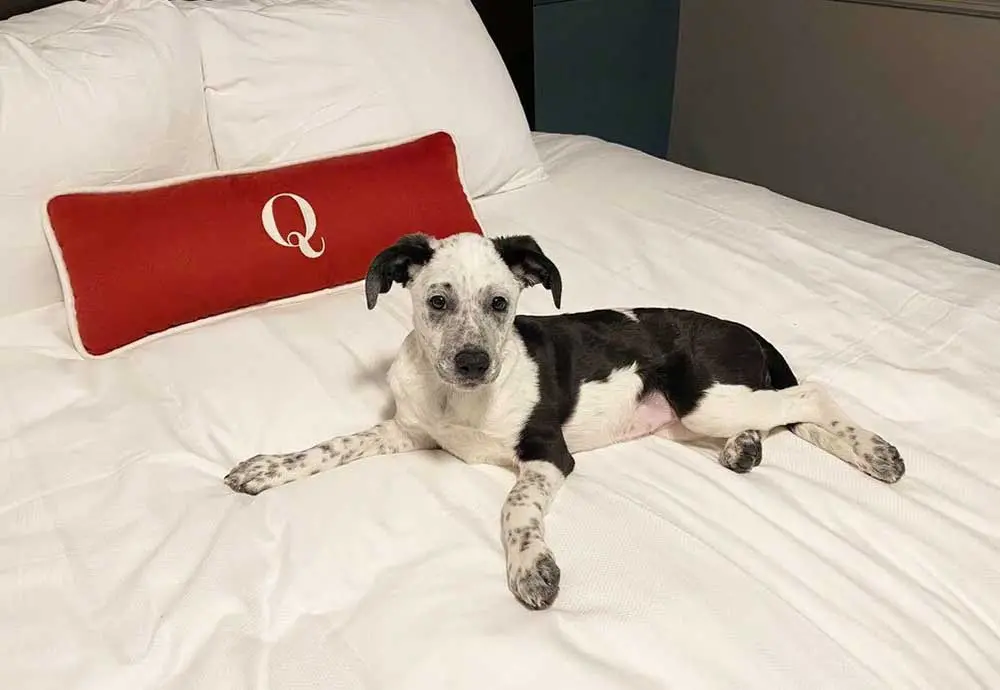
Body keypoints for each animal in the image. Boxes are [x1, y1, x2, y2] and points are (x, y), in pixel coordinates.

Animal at [225, 230, 908, 608]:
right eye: (437, 301)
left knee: (810, 396)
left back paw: (874, 451)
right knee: (777, 417)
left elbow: (515, 509)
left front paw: (531, 567)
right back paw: (748, 447)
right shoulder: (404, 430)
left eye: (501, 304)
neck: (458, 400)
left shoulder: (549, 455)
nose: (472, 362)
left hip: (709, 397)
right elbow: (330, 446)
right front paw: (268, 467)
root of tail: (744, 329)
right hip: (692, 417)